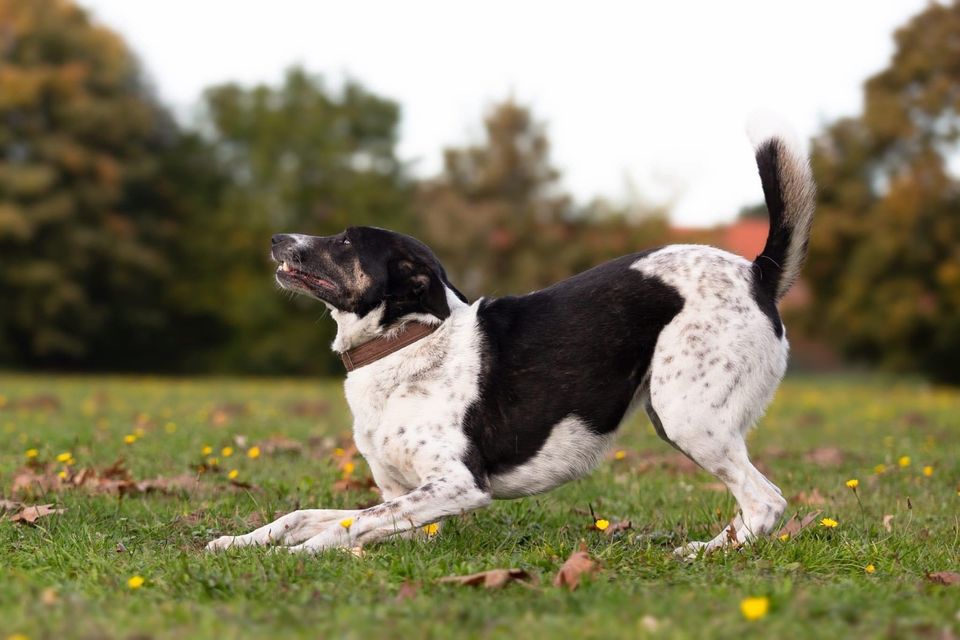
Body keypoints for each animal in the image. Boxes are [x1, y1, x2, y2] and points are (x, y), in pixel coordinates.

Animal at [206, 119, 812, 556]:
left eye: (346, 242)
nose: (277, 237)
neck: (404, 346)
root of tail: (756, 272)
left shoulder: (456, 486)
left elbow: (345, 528)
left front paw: (297, 557)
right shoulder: (403, 499)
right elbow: (306, 515)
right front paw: (240, 541)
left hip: (689, 417)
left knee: (766, 502)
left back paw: (702, 553)